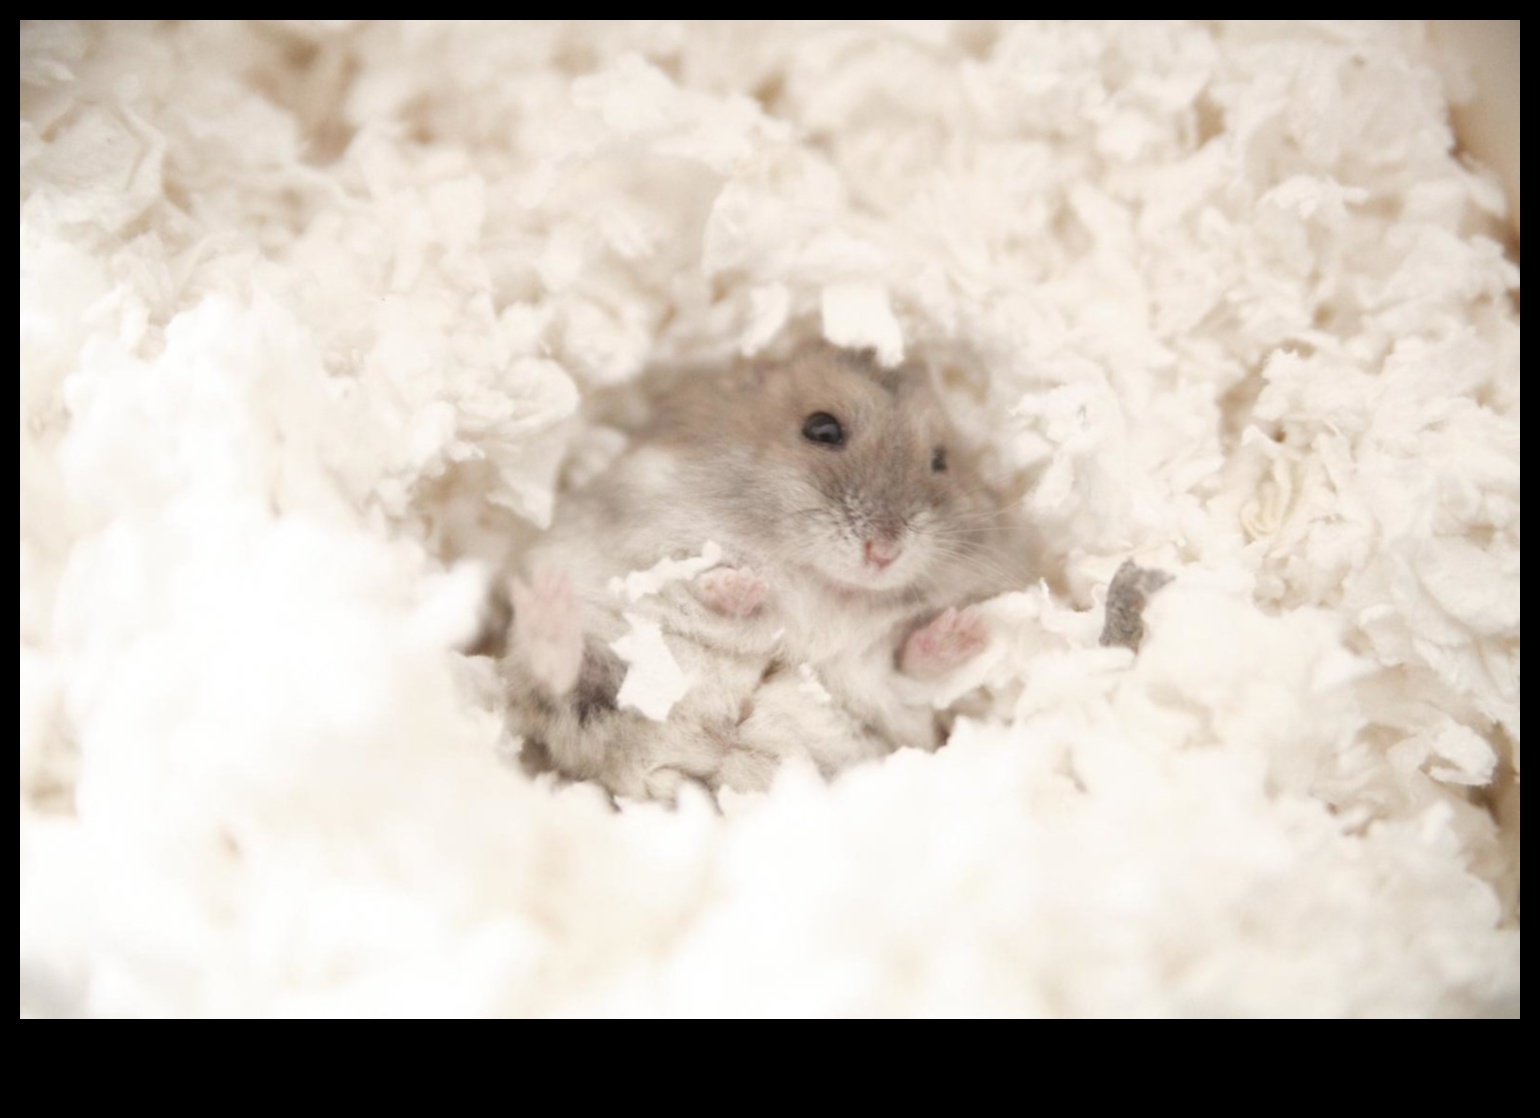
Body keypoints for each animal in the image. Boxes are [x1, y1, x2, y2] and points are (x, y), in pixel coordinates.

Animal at [500, 341, 1034, 801]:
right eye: (822, 429)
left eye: (941, 461)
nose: (883, 552)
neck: (825, 583)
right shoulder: (653, 538)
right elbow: (699, 584)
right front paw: (745, 585)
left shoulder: (885, 681)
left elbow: (909, 667)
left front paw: (966, 628)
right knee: (560, 675)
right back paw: (548, 601)